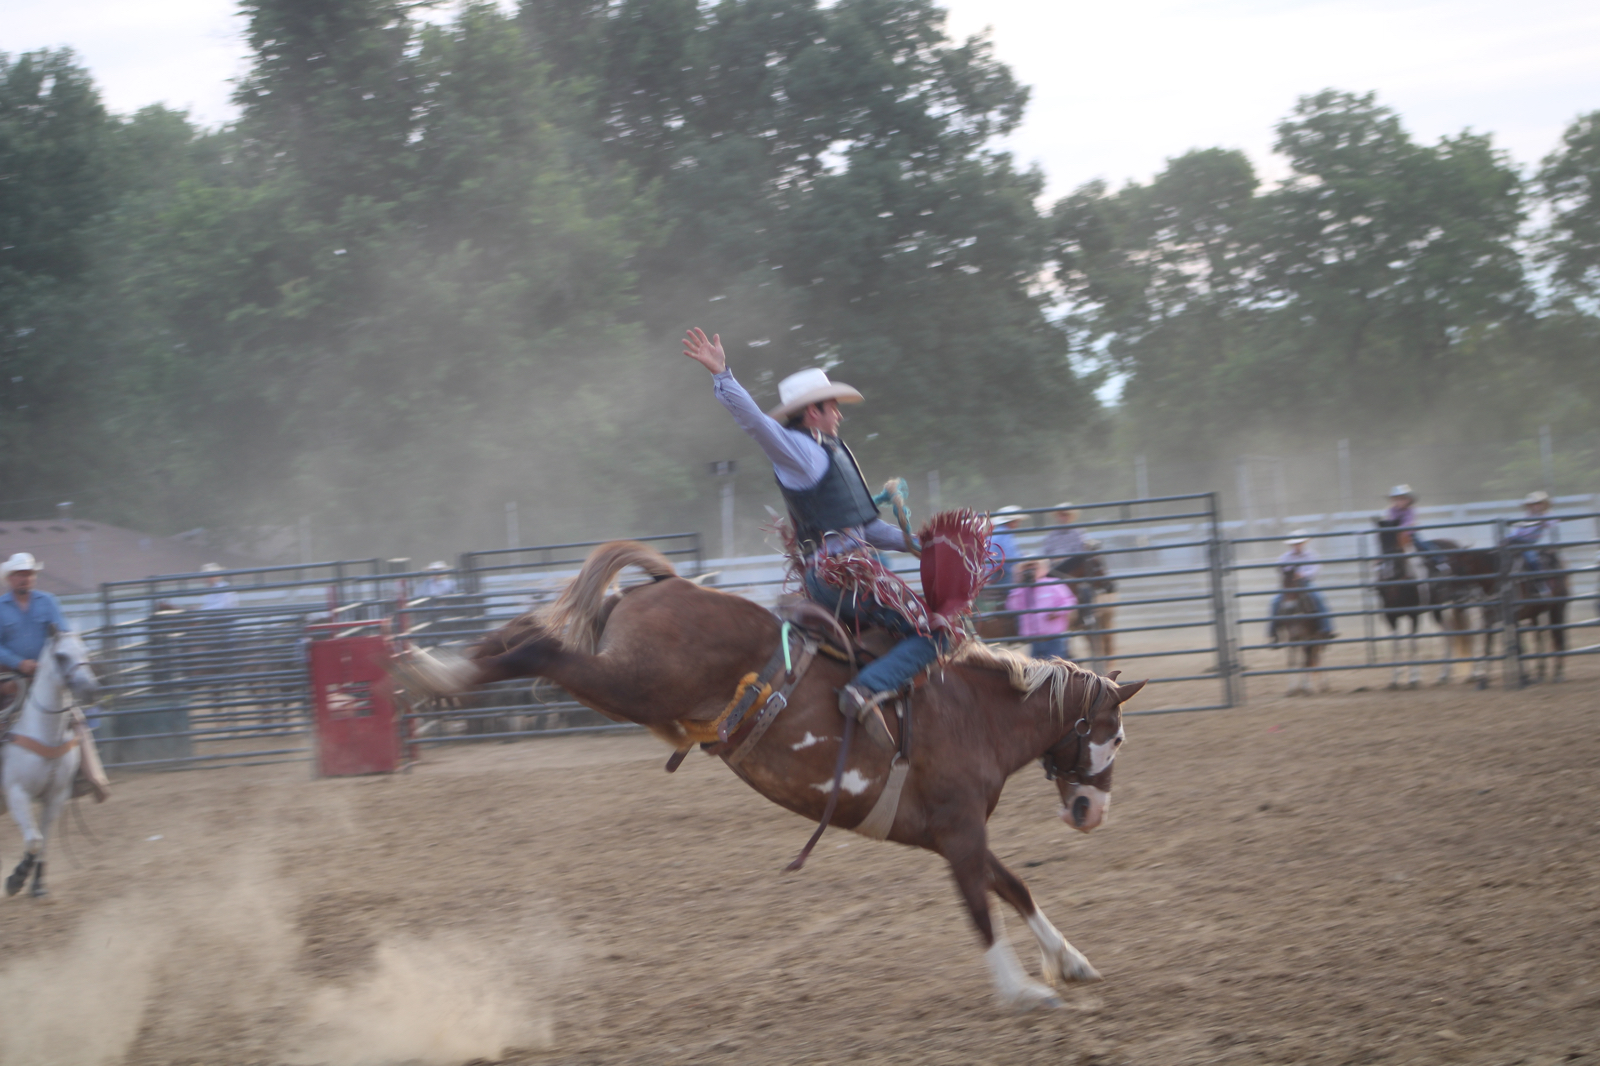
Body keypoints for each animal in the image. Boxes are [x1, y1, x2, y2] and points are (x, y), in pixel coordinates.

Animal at [3, 630, 100, 896]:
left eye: (86, 651)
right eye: (60, 656)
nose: (91, 689)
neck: (42, 731)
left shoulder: (56, 795)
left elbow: (42, 839)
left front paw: (36, 883)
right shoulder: (16, 793)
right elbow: (34, 840)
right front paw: (15, 879)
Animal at [406, 541, 1145, 1005]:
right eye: (1112, 734)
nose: (1093, 813)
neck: (973, 712)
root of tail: (669, 585)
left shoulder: (953, 833)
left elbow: (1014, 887)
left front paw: (1071, 961)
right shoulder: (960, 830)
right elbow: (981, 909)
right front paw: (1021, 991)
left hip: (625, 685)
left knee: (520, 634)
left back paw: (436, 665)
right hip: (632, 683)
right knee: (536, 646)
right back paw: (434, 672)